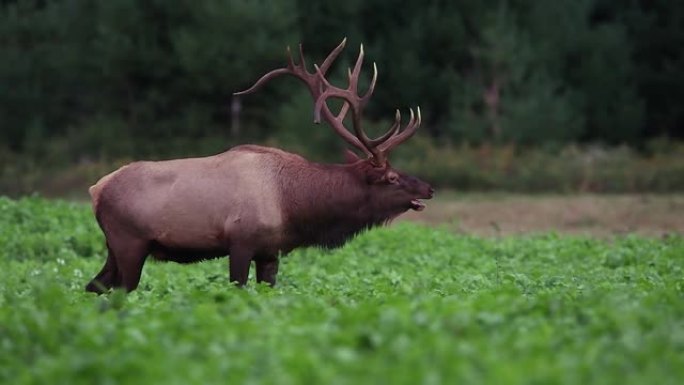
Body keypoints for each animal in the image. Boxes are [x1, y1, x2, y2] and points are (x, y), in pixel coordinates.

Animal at [85, 39, 432, 292]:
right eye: (391, 177)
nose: (428, 188)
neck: (294, 203)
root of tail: (95, 188)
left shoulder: (270, 250)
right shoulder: (241, 241)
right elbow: (237, 288)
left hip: (114, 246)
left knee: (95, 286)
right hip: (130, 241)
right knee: (120, 290)